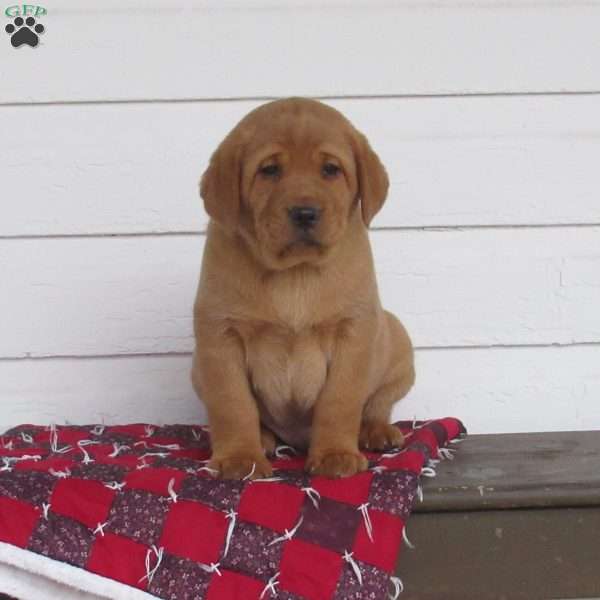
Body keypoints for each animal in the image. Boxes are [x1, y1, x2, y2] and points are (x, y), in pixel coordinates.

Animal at [191, 97, 412, 478]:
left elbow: (340, 401)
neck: (295, 272)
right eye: (269, 170)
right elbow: (232, 403)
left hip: (396, 336)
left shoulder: (354, 331)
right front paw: (240, 458)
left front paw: (336, 454)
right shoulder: (219, 334)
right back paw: (264, 439)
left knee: (378, 403)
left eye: (330, 169)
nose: (305, 213)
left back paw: (376, 430)